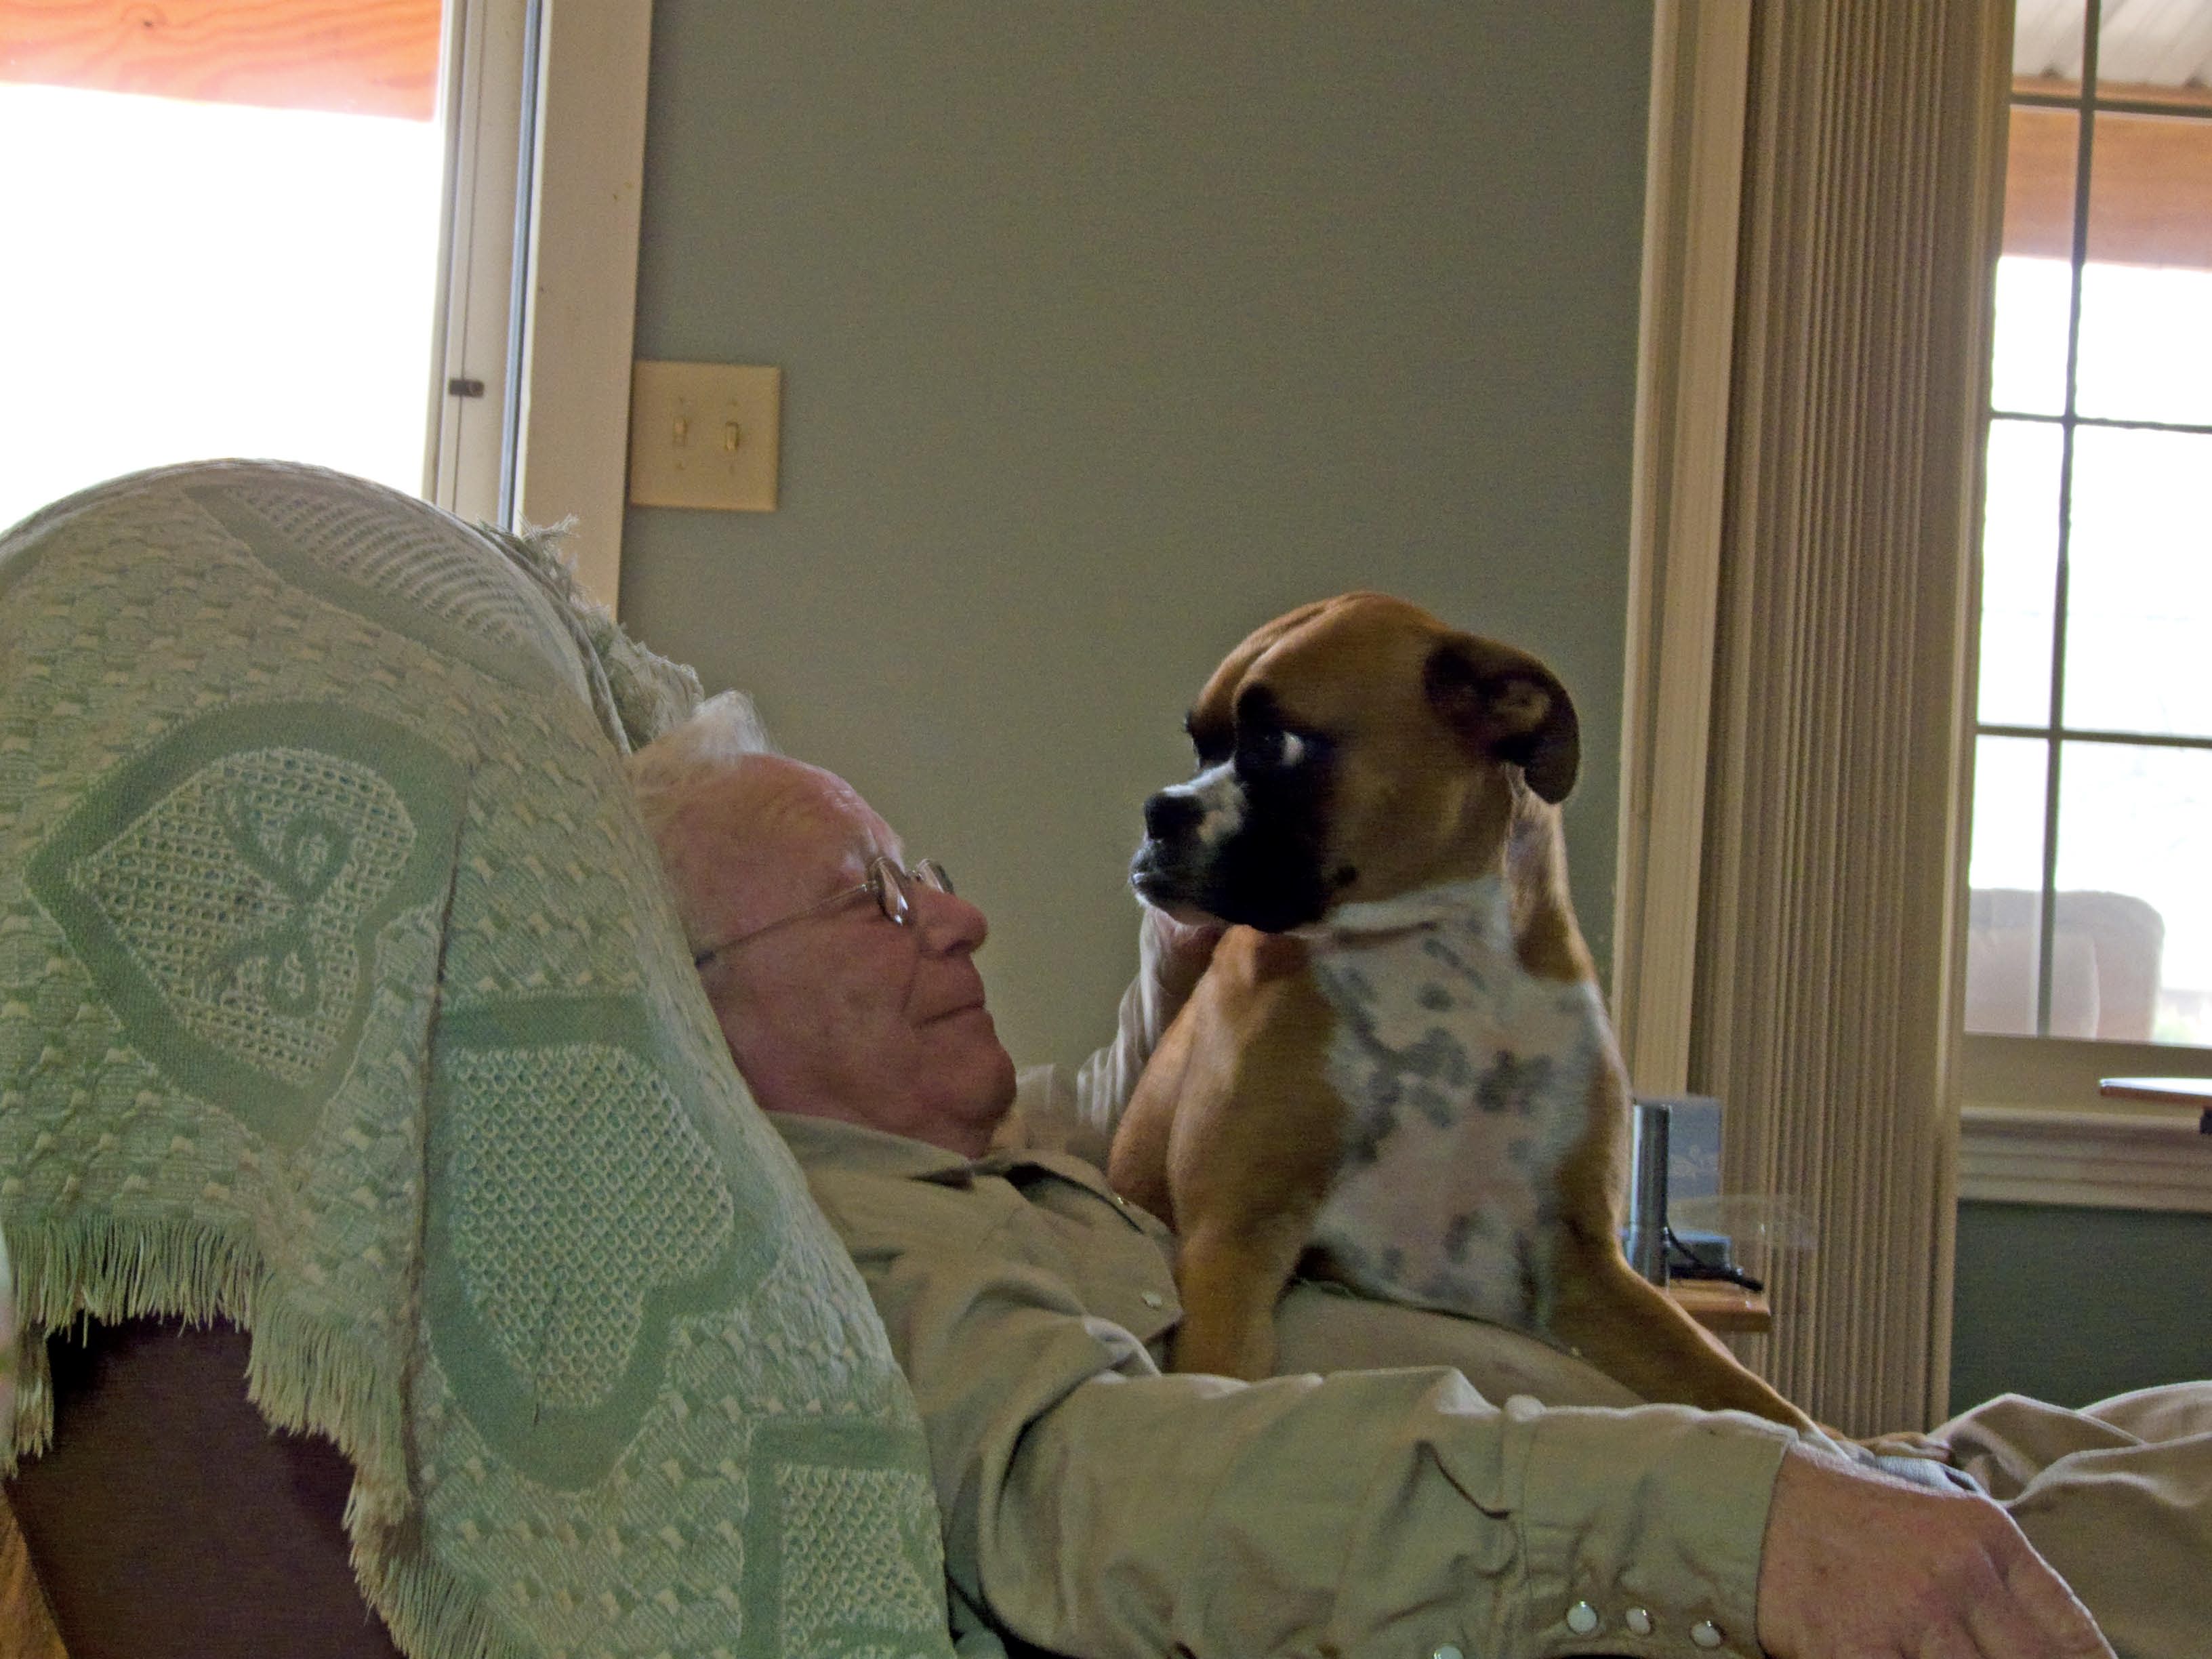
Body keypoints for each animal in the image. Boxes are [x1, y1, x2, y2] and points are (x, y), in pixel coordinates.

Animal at [1106, 592, 1814, 1433]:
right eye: (1199, 746)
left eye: (1275, 743)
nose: (1157, 811)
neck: (1437, 950)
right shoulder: (1235, 1245)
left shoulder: (1585, 1268)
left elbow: (1745, 1394)